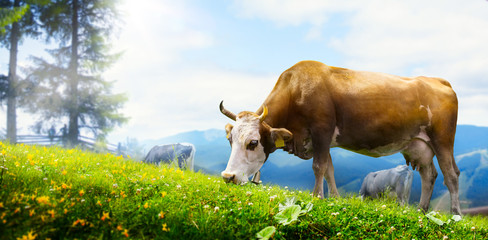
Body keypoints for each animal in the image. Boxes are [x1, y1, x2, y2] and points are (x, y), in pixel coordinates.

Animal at [221, 61, 462, 215]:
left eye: (253, 143)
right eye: (230, 140)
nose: (228, 176)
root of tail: (440, 81)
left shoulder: (321, 130)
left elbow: (318, 167)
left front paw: (316, 198)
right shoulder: (322, 140)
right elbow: (329, 169)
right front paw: (334, 199)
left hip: (443, 139)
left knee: (451, 174)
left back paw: (455, 214)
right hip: (419, 145)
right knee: (429, 174)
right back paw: (421, 210)